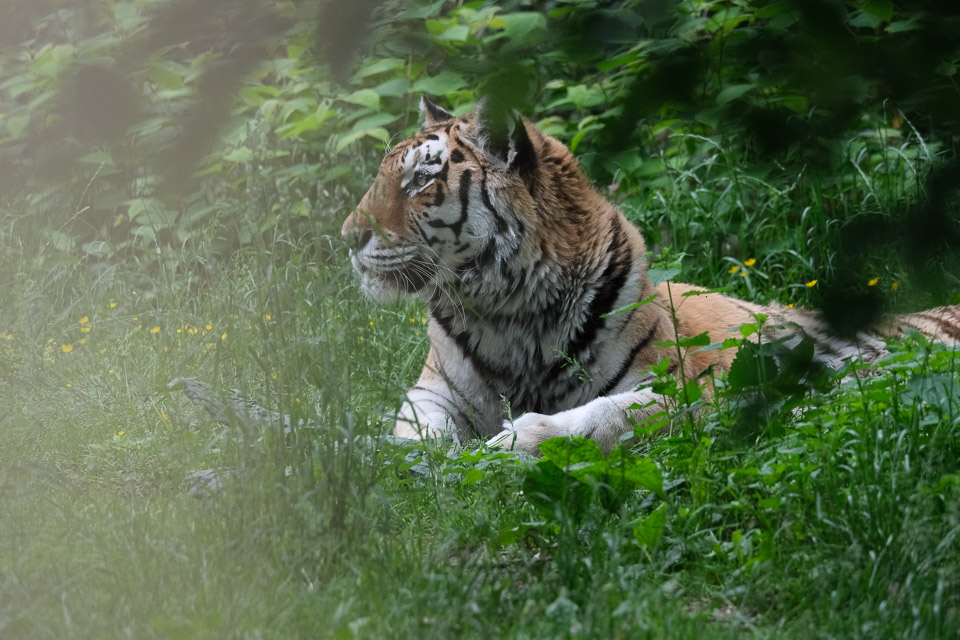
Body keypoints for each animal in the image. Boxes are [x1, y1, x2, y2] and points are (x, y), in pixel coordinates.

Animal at [340, 96, 960, 455]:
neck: (508, 310)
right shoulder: (432, 392)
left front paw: (517, 439)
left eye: (421, 180)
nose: (346, 236)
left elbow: (608, 416)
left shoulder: (702, 382)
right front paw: (418, 459)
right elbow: (414, 432)